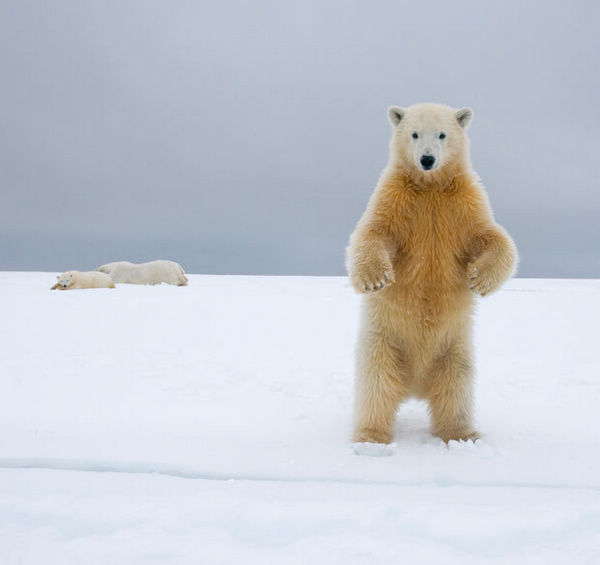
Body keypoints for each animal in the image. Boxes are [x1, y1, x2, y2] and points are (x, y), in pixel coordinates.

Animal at [346, 102, 516, 446]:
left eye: (442, 134)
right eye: (414, 133)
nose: (427, 159)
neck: (430, 186)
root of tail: (414, 387)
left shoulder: (464, 203)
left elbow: (491, 236)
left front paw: (479, 280)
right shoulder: (395, 197)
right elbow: (374, 231)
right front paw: (374, 278)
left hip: (454, 349)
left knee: (456, 387)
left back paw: (463, 434)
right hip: (383, 342)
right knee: (375, 386)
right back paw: (371, 437)